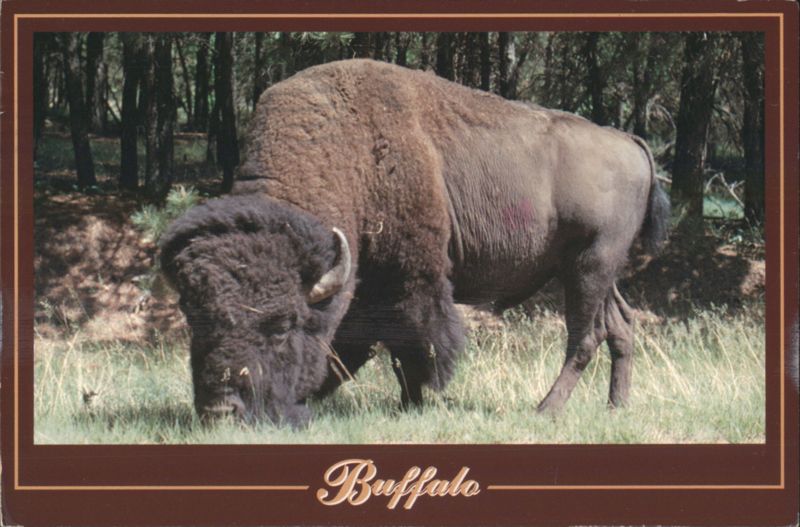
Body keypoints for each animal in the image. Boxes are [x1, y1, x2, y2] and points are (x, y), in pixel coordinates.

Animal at [160, 59, 669, 426]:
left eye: (283, 325)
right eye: (194, 318)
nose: (221, 411)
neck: (351, 154)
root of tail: (627, 139)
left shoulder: (412, 278)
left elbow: (414, 342)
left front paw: (415, 402)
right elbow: (369, 344)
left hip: (589, 266)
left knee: (585, 337)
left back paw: (544, 410)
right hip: (590, 270)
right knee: (620, 325)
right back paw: (616, 407)